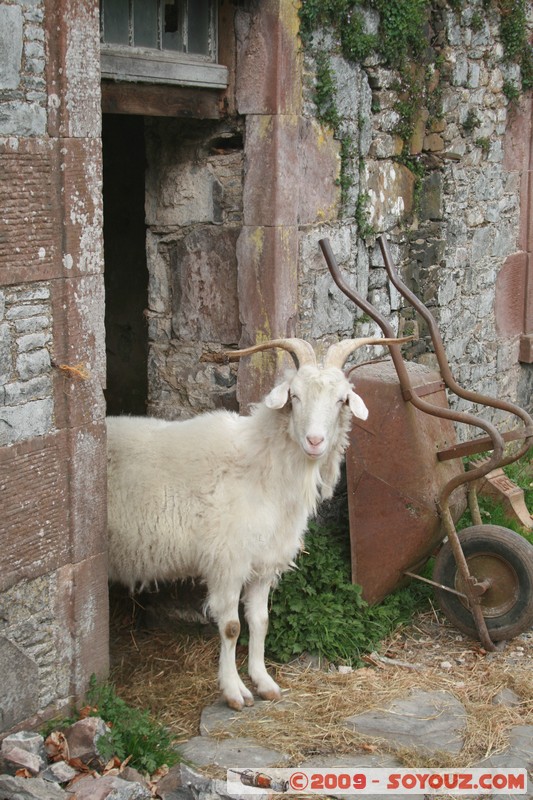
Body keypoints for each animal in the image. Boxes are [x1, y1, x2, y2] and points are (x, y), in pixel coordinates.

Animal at [106, 336, 406, 708]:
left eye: (341, 400)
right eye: (295, 396)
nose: (315, 441)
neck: (263, 466)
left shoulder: (263, 562)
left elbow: (260, 621)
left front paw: (263, 682)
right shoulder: (228, 561)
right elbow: (232, 627)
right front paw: (234, 691)